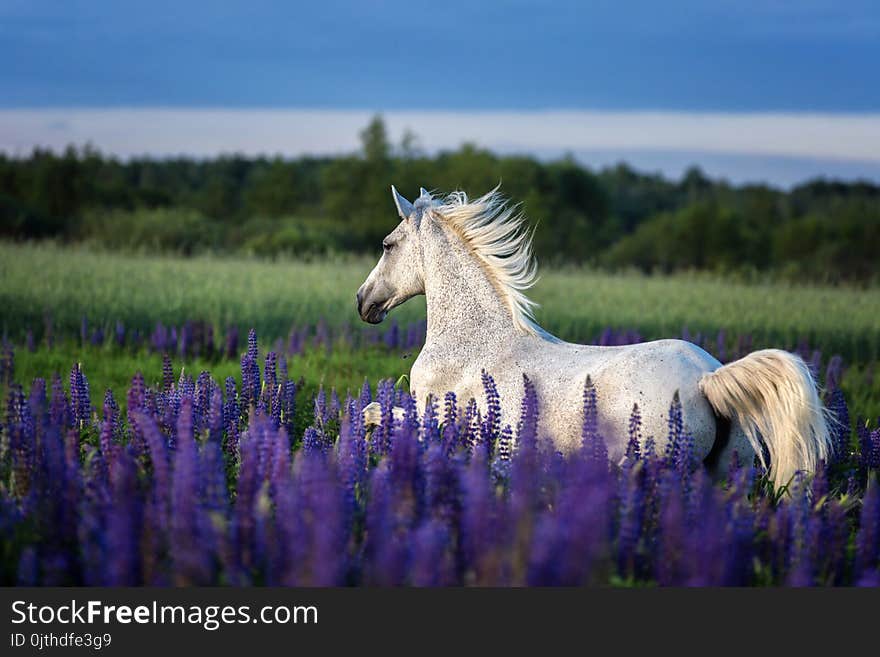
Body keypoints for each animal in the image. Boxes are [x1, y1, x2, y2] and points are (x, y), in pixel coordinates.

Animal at [356, 184, 832, 486]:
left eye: (387, 244)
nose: (363, 301)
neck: (472, 340)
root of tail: (707, 378)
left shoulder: (433, 419)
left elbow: (373, 412)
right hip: (723, 477)